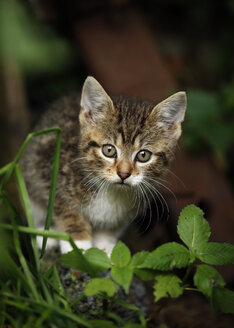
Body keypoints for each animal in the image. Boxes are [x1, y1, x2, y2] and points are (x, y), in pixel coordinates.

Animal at [21, 77, 186, 256]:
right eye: (109, 150)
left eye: (143, 155)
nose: (123, 174)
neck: (111, 190)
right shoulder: (47, 164)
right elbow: (63, 208)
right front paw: (78, 243)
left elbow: (114, 225)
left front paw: (105, 242)